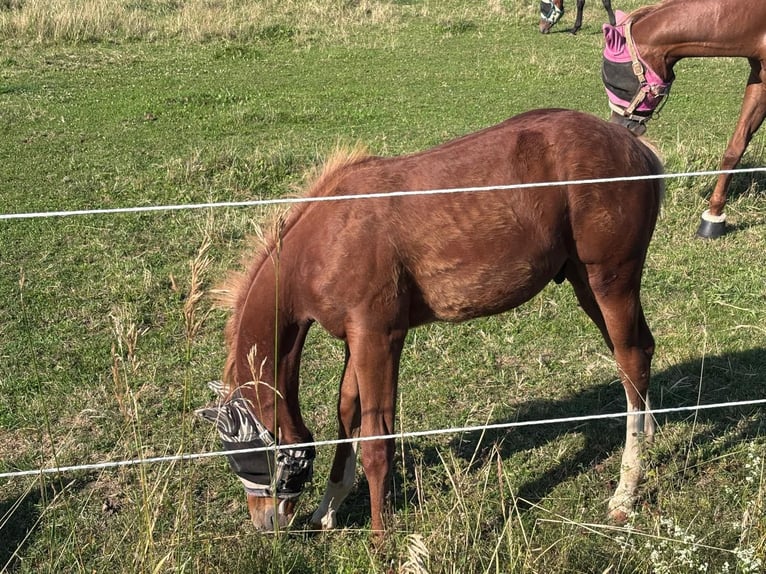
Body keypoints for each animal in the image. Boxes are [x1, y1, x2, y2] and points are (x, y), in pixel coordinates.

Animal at [197, 108, 664, 536]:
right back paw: (648, 440)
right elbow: (347, 411)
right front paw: (328, 507)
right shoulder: (355, 338)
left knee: (631, 360)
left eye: (250, 458)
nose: (265, 522)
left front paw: (380, 540)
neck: (328, 236)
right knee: (639, 353)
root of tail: (635, 146)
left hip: (610, 281)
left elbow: (376, 438)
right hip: (587, 285)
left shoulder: (379, 337)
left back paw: (625, 491)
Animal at [601, 0, 766, 238]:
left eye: (614, 83)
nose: (618, 124)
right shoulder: (759, 77)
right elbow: (735, 147)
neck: (755, 14)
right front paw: (713, 216)